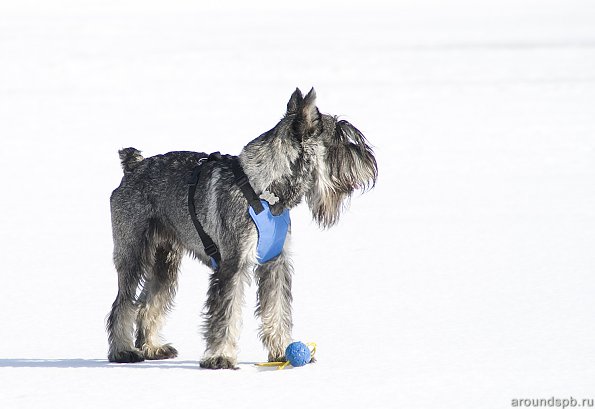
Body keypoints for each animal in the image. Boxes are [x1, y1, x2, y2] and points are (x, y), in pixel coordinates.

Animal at [106, 87, 378, 368]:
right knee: (123, 302)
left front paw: (282, 350)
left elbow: (278, 309)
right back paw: (123, 351)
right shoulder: (232, 263)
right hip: (133, 253)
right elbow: (226, 313)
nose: (370, 161)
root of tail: (133, 167)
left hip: (165, 260)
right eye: (340, 140)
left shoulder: (275, 263)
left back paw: (152, 347)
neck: (265, 191)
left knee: (149, 302)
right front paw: (220, 356)